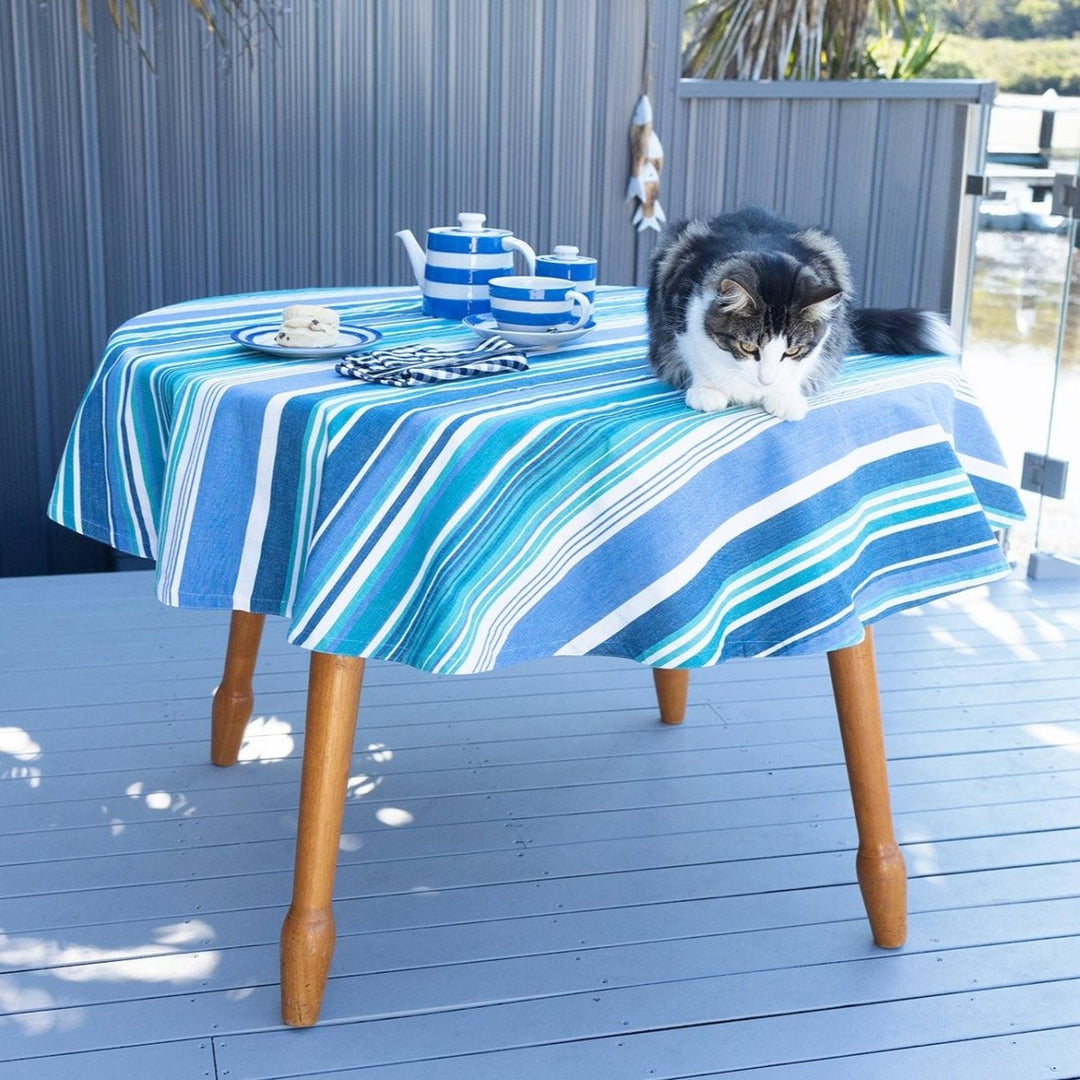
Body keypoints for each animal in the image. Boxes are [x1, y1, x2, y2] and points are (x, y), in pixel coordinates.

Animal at [643, 206, 950, 421]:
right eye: (748, 347)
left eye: (791, 351)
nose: (766, 380)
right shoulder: (678, 307)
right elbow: (694, 353)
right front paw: (707, 390)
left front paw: (785, 396)